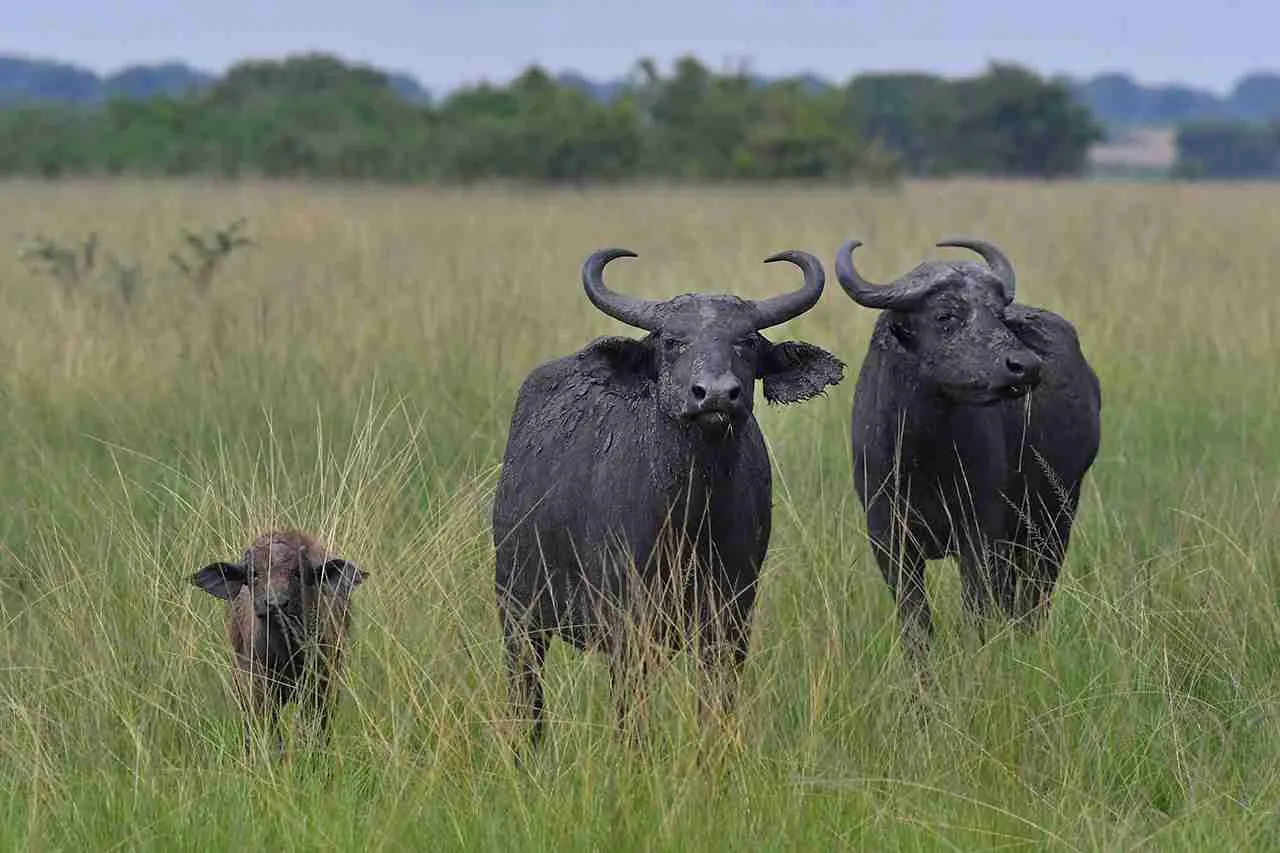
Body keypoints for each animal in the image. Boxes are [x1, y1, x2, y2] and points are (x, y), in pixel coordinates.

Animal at [190, 527, 371, 753]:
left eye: (298, 573)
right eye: (254, 574)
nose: (275, 603)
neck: (285, 654)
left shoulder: (322, 686)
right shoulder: (257, 688)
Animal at [494, 247, 844, 742]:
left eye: (747, 341)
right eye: (673, 341)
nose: (714, 395)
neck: (692, 513)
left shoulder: (731, 617)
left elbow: (716, 704)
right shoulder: (628, 624)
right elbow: (630, 712)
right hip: (518, 614)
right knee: (528, 696)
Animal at [839, 236, 1100, 655]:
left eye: (998, 315)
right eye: (945, 315)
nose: (1025, 366)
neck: (921, 456)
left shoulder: (980, 534)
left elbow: (977, 611)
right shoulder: (888, 539)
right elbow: (916, 622)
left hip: (1054, 520)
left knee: (1033, 599)